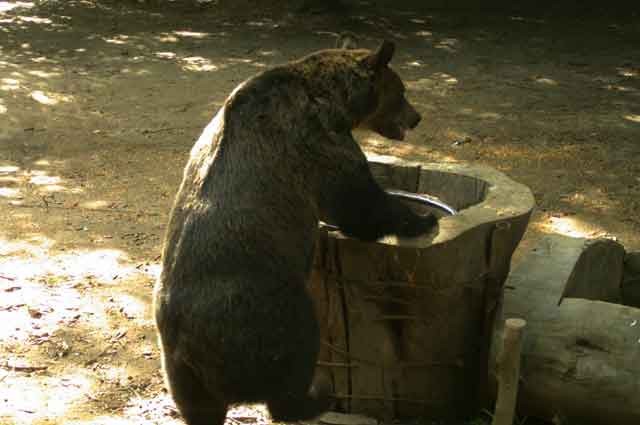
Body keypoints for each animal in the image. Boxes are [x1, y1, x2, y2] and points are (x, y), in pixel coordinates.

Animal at [154, 39, 436, 424]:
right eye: (401, 91)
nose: (416, 117)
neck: (336, 103)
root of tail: (186, 342)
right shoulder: (317, 144)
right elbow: (358, 206)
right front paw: (423, 217)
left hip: (182, 373)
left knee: (199, 407)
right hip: (264, 309)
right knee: (294, 358)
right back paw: (317, 394)